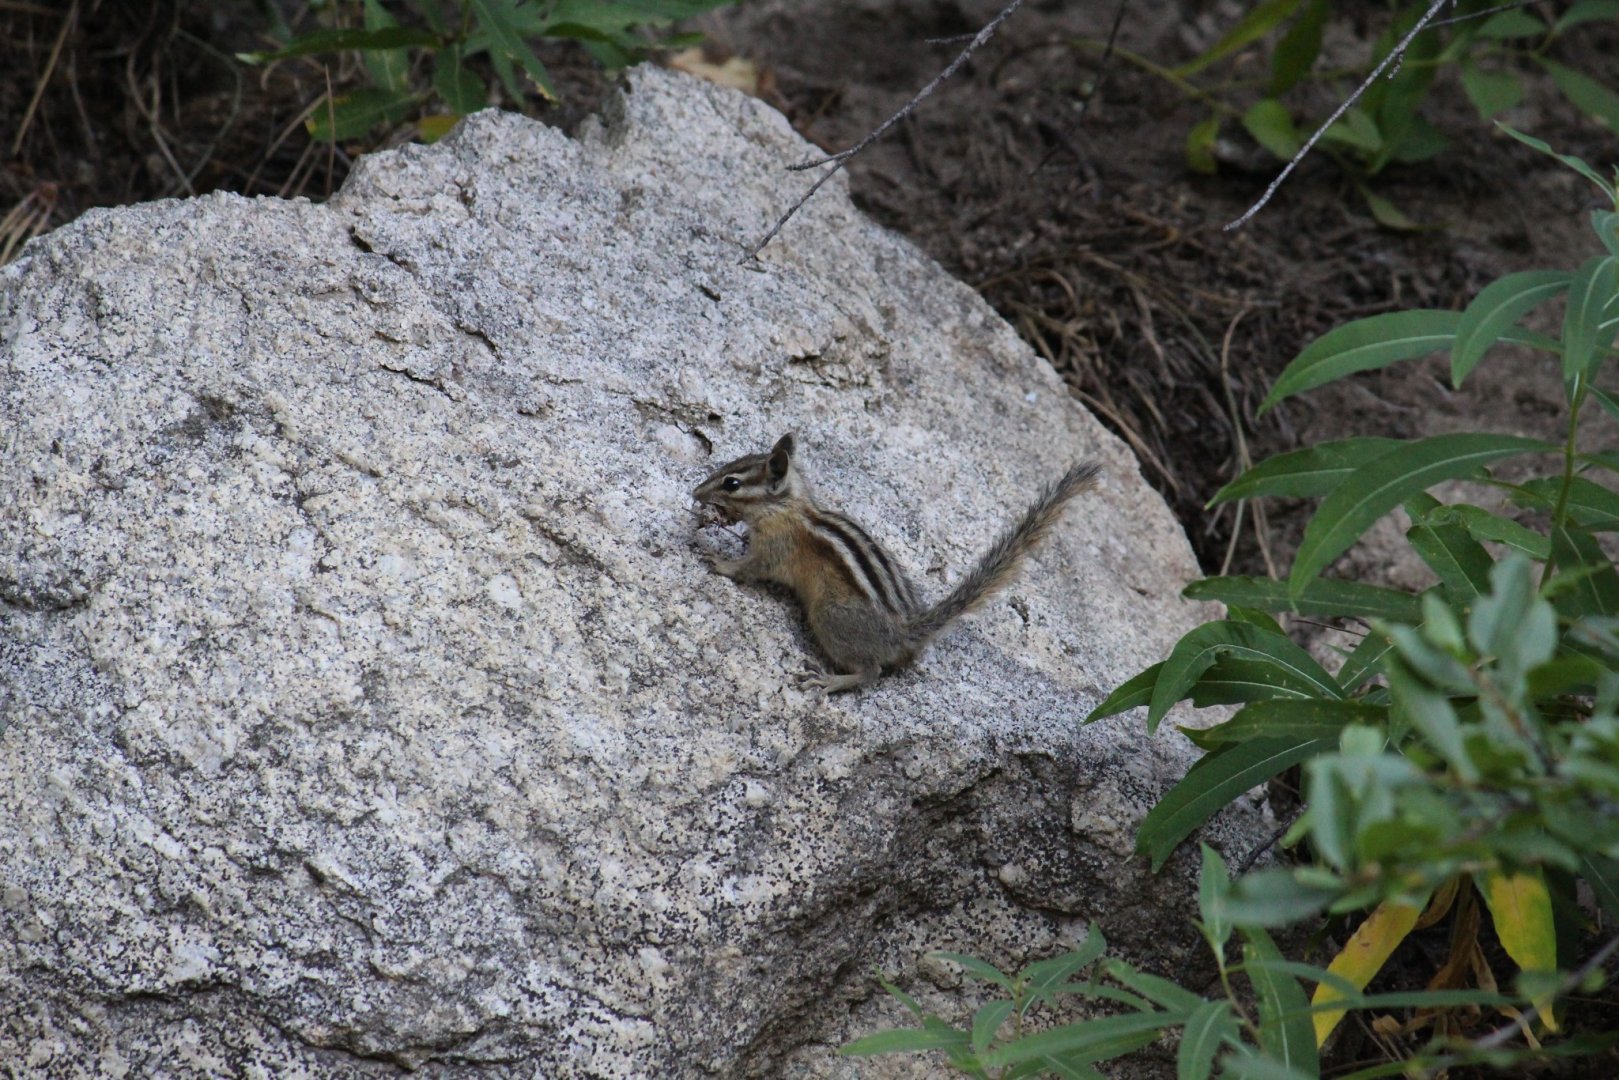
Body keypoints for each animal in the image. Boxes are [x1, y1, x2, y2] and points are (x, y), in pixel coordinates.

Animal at [692, 433, 1100, 693]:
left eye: (731, 483)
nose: (696, 492)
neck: (787, 506)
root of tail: (906, 631)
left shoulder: (776, 547)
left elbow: (750, 569)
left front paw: (720, 560)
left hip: (830, 616)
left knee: (870, 672)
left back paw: (830, 680)